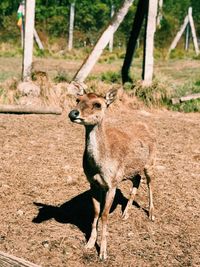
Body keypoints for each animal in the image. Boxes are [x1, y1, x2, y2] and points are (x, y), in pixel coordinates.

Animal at [69, 89, 156, 260]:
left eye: (98, 104)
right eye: (77, 99)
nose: (73, 113)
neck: (99, 166)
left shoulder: (112, 184)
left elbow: (104, 215)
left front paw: (103, 253)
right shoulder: (93, 183)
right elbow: (96, 212)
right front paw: (89, 244)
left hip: (150, 162)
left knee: (150, 183)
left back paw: (151, 214)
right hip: (129, 171)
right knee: (137, 179)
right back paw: (125, 214)